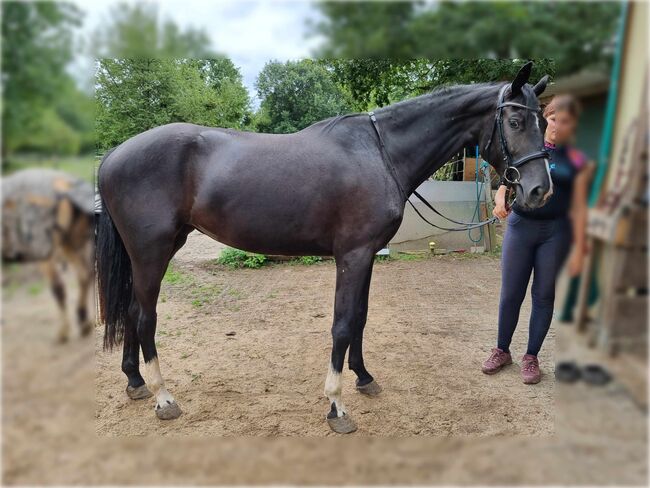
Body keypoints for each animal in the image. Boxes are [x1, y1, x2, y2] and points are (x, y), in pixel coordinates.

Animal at [96, 62, 548, 434]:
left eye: (543, 121)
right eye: (514, 119)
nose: (539, 190)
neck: (380, 153)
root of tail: (115, 154)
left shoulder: (367, 256)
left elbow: (360, 318)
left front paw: (364, 378)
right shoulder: (352, 255)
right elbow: (343, 324)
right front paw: (336, 406)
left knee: (132, 312)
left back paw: (136, 382)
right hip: (152, 252)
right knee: (145, 317)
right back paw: (164, 397)